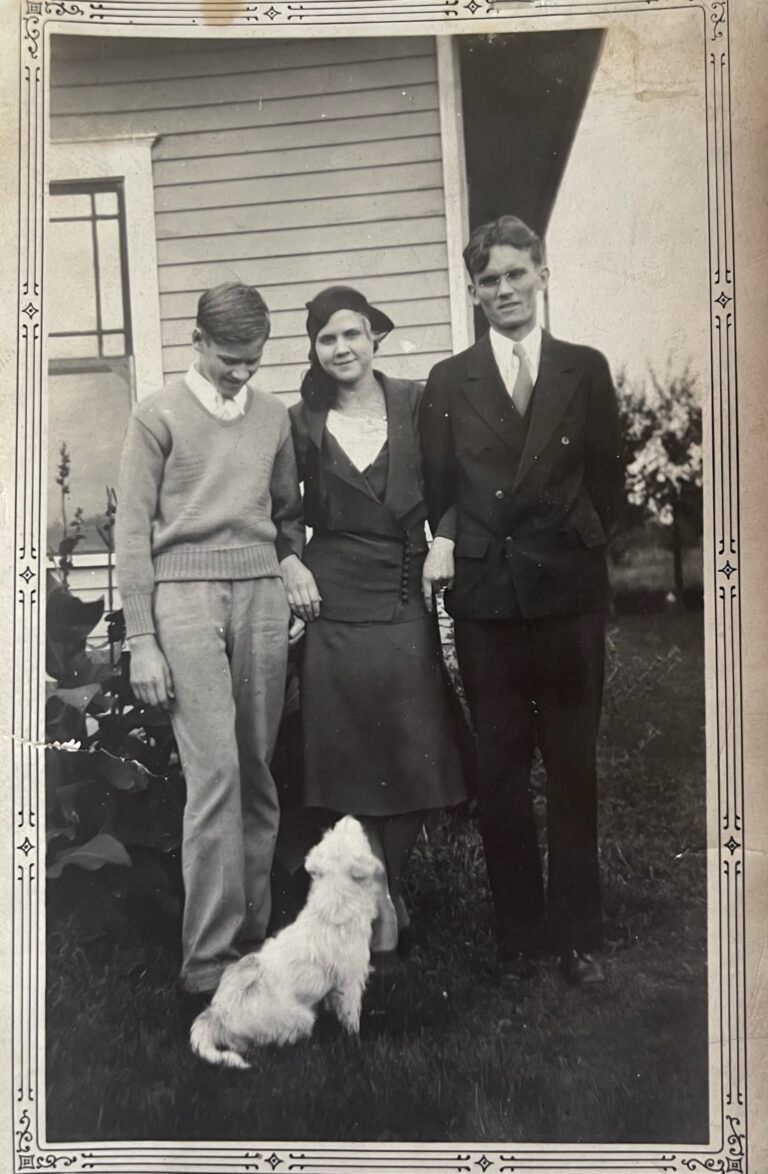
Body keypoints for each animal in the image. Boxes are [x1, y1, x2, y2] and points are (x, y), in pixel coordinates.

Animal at [190, 815, 384, 1069]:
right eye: (355, 837)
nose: (348, 817)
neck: (333, 901)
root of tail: (216, 1016)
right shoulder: (349, 982)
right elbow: (351, 1017)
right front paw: (355, 1043)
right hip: (301, 1019)